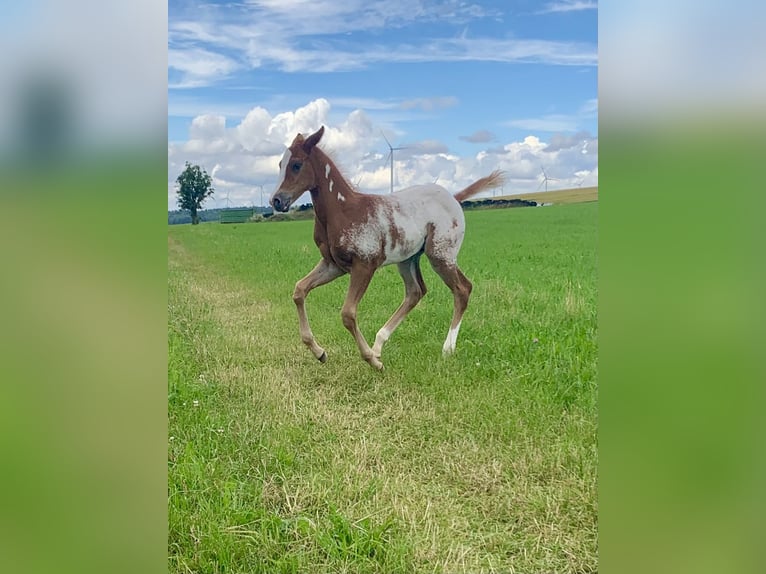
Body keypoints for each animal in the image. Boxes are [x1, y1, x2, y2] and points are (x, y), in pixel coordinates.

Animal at [272, 126, 508, 374]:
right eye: (280, 164)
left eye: (296, 164)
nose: (276, 200)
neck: (343, 210)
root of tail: (454, 198)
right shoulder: (333, 265)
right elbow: (299, 291)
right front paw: (320, 352)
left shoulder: (364, 265)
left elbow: (347, 314)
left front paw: (372, 361)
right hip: (408, 259)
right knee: (415, 292)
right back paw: (378, 345)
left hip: (441, 255)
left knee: (462, 289)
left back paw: (446, 349)